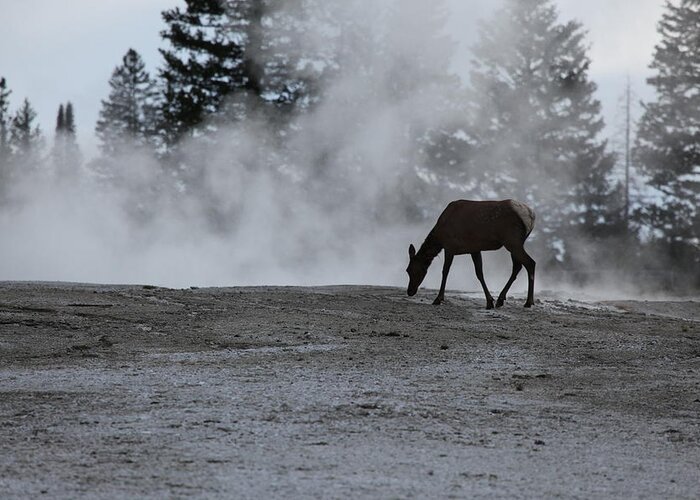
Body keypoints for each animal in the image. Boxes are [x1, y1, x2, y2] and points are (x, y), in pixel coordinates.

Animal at [404, 199, 536, 308]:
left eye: (414, 270)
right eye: (407, 270)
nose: (410, 291)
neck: (440, 236)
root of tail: (531, 216)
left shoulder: (449, 246)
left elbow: (445, 271)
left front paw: (438, 299)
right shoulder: (474, 249)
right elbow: (479, 273)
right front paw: (489, 301)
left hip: (512, 241)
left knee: (530, 263)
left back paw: (528, 302)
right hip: (515, 243)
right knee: (517, 267)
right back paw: (500, 300)